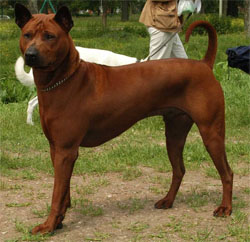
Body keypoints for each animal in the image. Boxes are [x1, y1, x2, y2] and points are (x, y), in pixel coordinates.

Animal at [14, 3, 233, 234]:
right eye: (27, 35)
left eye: (50, 36)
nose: (31, 54)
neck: (64, 80)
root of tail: (204, 64)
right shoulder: (55, 148)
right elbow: (64, 191)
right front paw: (58, 221)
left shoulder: (66, 151)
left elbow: (57, 193)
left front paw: (48, 225)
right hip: (174, 133)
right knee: (179, 170)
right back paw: (168, 200)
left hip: (211, 132)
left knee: (227, 173)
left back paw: (225, 208)